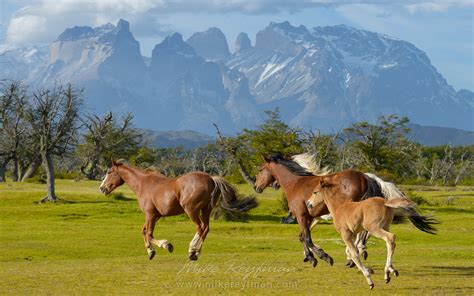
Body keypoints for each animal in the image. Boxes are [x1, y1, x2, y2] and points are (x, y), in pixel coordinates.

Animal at [98, 161, 258, 260]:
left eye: (109, 172)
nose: (102, 188)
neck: (143, 184)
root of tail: (211, 178)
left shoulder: (150, 215)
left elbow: (149, 234)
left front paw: (166, 245)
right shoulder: (155, 216)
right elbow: (144, 232)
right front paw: (150, 252)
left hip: (191, 210)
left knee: (200, 227)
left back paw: (192, 251)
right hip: (206, 210)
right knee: (206, 228)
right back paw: (196, 252)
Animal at [254, 154, 406, 268]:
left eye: (260, 169)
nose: (256, 187)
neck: (295, 184)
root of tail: (365, 177)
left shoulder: (301, 216)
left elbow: (307, 238)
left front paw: (322, 257)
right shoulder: (310, 217)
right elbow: (302, 237)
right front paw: (309, 257)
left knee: (362, 234)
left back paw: (353, 257)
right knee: (364, 234)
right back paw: (356, 255)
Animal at [308, 178, 436, 290]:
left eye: (315, 192)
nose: (309, 204)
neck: (339, 207)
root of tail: (385, 202)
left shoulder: (346, 234)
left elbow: (354, 253)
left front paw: (369, 279)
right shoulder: (353, 234)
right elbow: (350, 251)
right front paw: (369, 269)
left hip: (374, 228)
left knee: (390, 238)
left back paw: (387, 271)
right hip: (384, 226)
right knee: (391, 242)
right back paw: (389, 272)